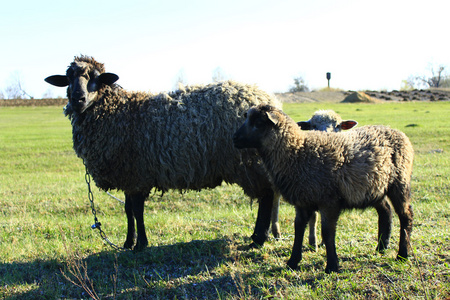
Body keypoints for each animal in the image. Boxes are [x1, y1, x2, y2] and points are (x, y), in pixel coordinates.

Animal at [44, 55, 282, 251]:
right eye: (68, 78)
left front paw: (141, 244)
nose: (78, 99)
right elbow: (128, 210)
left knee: (266, 197)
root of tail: (266, 97)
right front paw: (128, 242)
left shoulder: (138, 176)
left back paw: (258, 238)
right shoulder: (129, 176)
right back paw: (258, 237)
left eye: (95, 77)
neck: (119, 112)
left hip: (249, 163)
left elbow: (137, 210)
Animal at [234, 104, 414, 274]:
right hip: (374, 188)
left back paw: (402, 255)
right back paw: (381, 247)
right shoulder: (302, 201)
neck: (297, 152)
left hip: (399, 182)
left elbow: (328, 232)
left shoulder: (329, 201)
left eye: (259, 123)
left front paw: (332, 266)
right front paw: (293, 262)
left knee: (406, 215)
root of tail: (395, 130)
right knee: (385, 211)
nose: (234, 138)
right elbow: (299, 228)